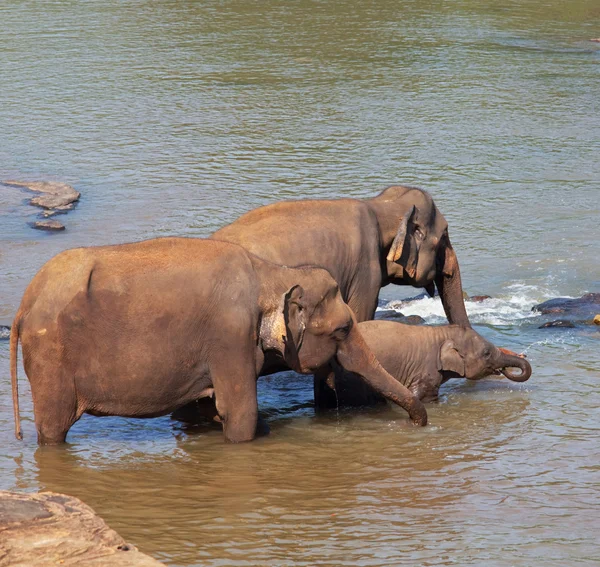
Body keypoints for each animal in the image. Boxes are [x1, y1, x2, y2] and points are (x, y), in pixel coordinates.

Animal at [11, 237, 428, 446]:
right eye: (342, 329)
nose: (417, 424)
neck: (271, 273)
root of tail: (25, 302)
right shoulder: (230, 335)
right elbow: (240, 413)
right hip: (51, 357)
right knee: (54, 428)